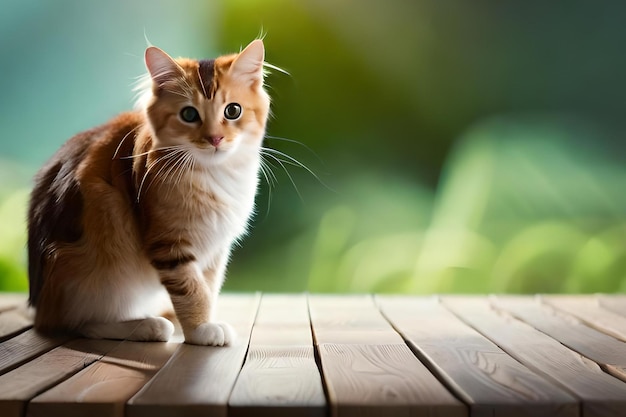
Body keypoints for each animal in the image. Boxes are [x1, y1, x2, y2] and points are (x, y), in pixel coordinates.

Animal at [25, 39, 270, 344]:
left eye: (232, 111)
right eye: (189, 114)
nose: (215, 138)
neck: (215, 175)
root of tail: (40, 310)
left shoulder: (215, 249)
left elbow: (208, 288)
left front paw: (203, 320)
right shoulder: (170, 245)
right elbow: (192, 290)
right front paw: (201, 329)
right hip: (101, 272)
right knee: (83, 323)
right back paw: (149, 325)